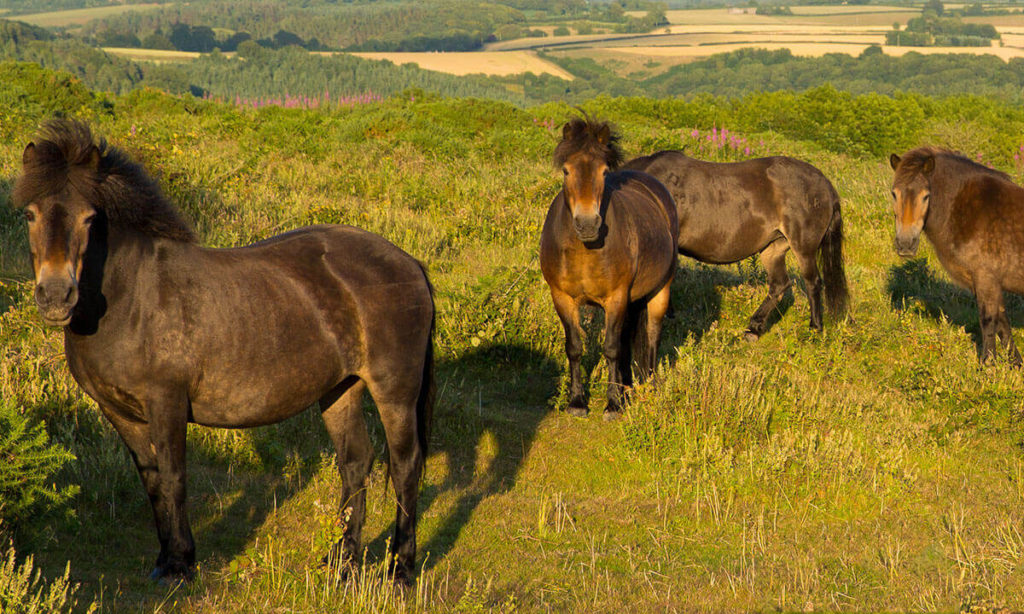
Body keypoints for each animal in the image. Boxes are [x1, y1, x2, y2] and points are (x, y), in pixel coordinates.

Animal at [14, 119, 434, 585]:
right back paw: (341, 560)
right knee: (356, 462)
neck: (131, 296)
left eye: (89, 218)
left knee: (405, 465)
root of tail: (409, 262)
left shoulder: (167, 403)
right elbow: (153, 482)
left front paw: (181, 564)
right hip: (341, 389)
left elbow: (175, 477)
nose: (56, 296)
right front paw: (164, 559)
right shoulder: (119, 412)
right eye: (30, 214)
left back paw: (401, 566)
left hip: (394, 391)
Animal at [536, 117, 679, 419]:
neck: (584, 250)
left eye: (603, 172)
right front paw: (577, 401)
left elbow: (612, 348)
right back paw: (628, 388)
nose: (588, 224)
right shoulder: (562, 298)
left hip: (660, 291)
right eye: (566, 170)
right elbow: (575, 347)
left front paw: (612, 405)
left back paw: (648, 387)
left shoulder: (616, 297)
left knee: (652, 336)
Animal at [622, 149, 847, 339]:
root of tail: (825, 183)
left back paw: (815, 329)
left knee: (813, 282)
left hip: (803, 247)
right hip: (773, 248)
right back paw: (754, 329)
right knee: (780, 285)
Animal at [888, 146, 1024, 364]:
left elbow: (988, 321)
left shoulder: (986, 278)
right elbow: (1003, 323)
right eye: (894, 194)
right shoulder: (989, 282)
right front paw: (1015, 364)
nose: (905, 244)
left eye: (926, 196)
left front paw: (987, 365)